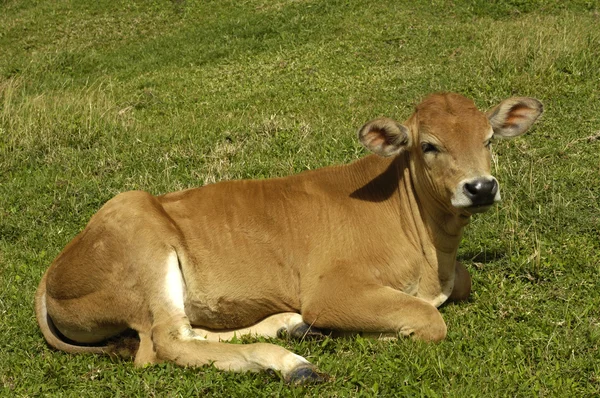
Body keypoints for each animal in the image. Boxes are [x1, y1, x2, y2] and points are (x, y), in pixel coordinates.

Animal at [36, 92, 544, 382]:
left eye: (489, 139)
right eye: (429, 145)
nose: (481, 187)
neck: (431, 254)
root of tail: (51, 270)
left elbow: (462, 283)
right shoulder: (331, 289)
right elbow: (428, 319)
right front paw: (378, 335)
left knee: (189, 330)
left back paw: (290, 326)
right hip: (140, 231)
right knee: (165, 342)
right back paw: (288, 363)